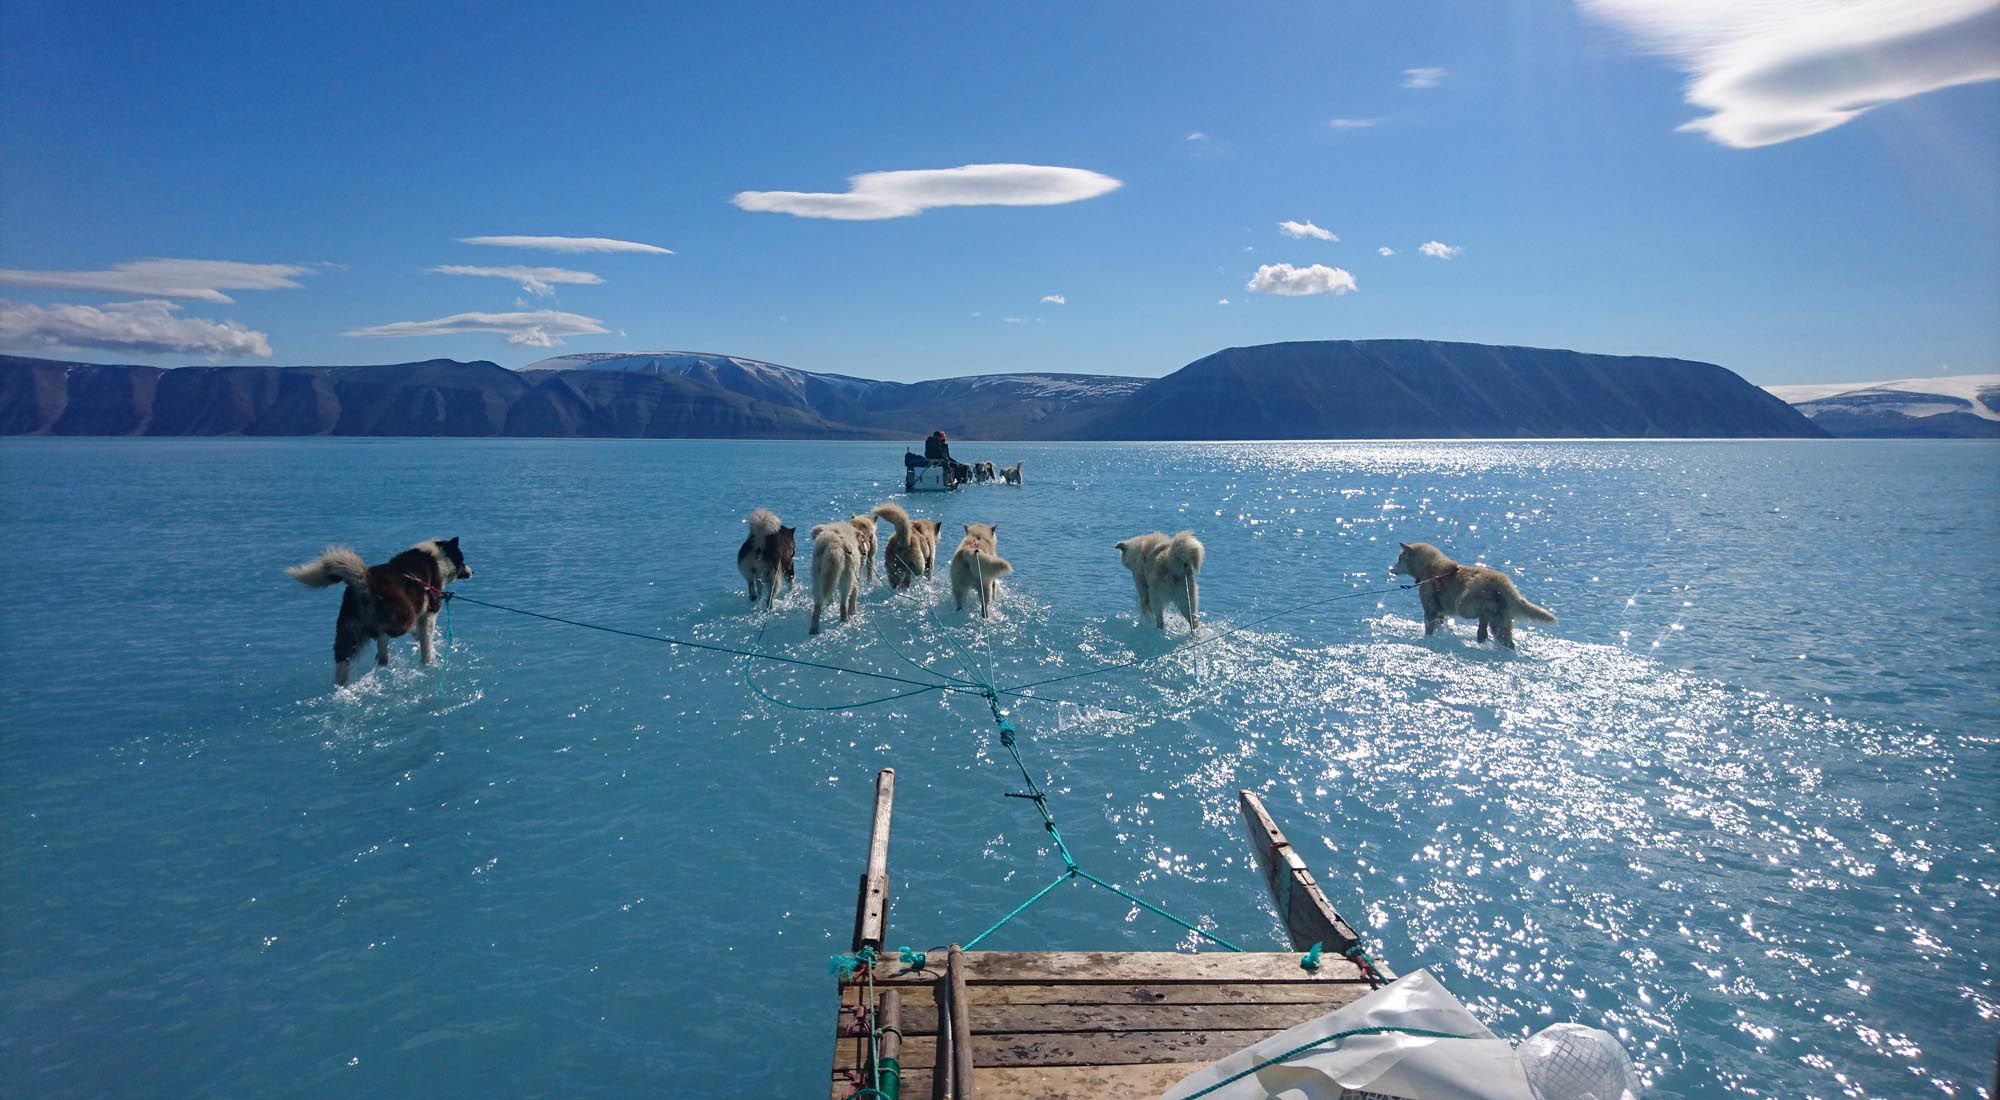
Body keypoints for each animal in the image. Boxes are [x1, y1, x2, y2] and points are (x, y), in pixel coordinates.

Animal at [1400, 540, 1552, 648]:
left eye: (1399, 558)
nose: (1393, 569)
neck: (1428, 566)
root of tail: (1504, 583)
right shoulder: (1440, 610)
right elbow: (1440, 622)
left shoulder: (1430, 606)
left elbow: (1429, 624)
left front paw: (1428, 637)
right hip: (1502, 617)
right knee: (1503, 636)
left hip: (1471, 602)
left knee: (1482, 616)